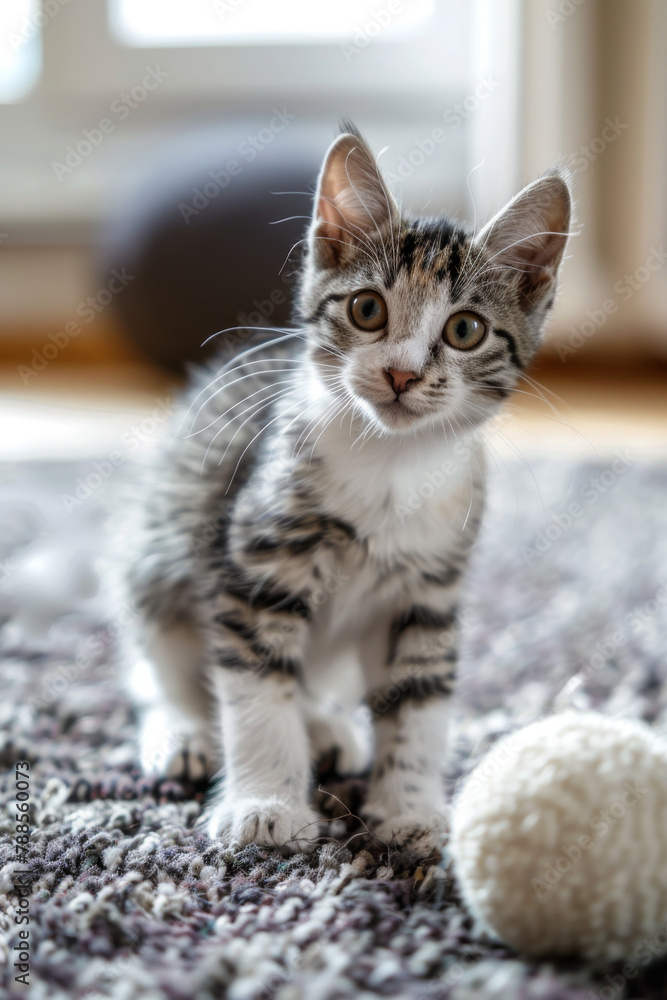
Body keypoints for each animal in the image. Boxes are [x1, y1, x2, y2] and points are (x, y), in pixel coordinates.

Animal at [122, 123, 572, 852]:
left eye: (465, 330)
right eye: (367, 310)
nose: (401, 375)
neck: (390, 465)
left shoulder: (427, 591)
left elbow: (417, 704)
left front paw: (411, 810)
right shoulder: (258, 562)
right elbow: (255, 690)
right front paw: (265, 802)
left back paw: (326, 727)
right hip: (161, 544)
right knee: (160, 665)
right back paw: (182, 731)